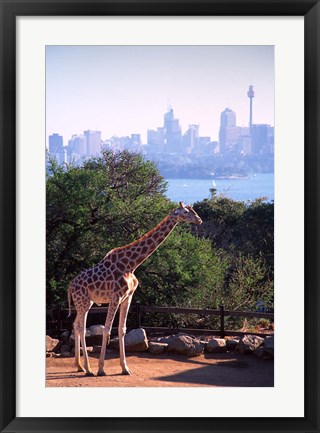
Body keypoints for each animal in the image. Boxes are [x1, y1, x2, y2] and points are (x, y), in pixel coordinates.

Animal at [67, 202, 202, 374]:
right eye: (185, 212)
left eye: (193, 211)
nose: (199, 220)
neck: (131, 265)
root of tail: (70, 286)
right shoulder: (115, 297)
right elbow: (107, 329)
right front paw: (101, 369)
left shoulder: (128, 297)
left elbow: (122, 329)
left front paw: (125, 368)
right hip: (82, 302)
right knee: (81, 328)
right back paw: (88, 369)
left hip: (87, 302)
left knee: (76, 325)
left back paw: (80, 366)